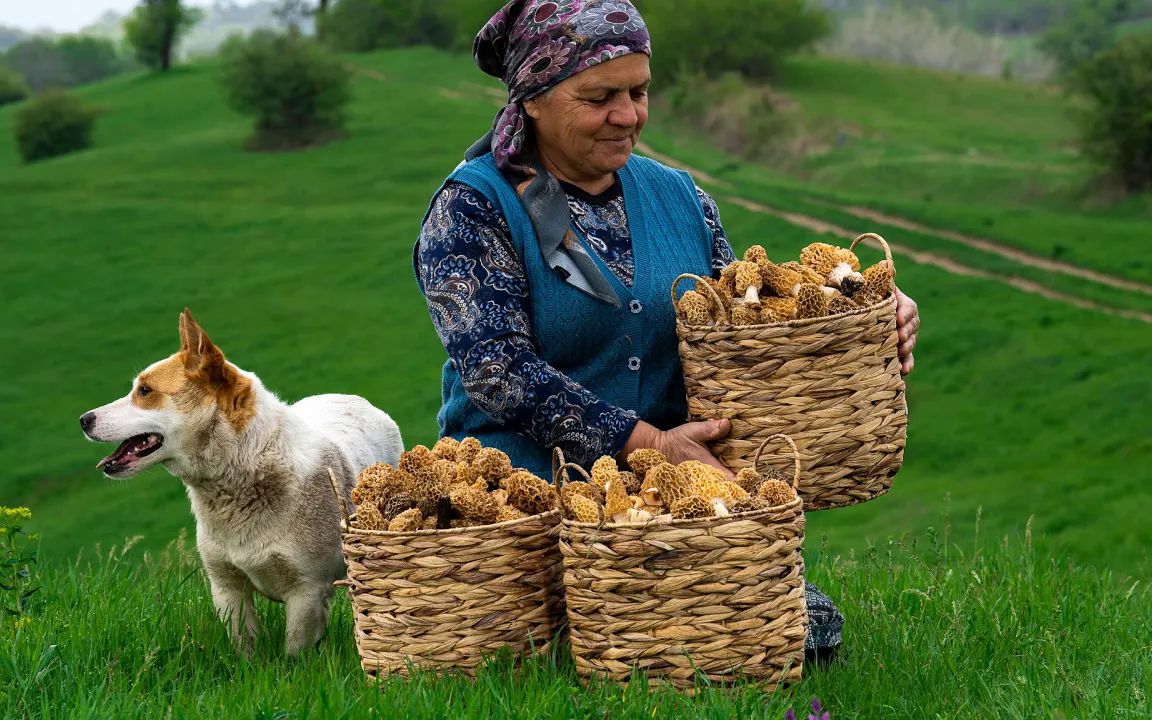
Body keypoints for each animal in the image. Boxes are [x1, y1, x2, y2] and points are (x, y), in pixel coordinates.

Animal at [76, 306, 400, 654]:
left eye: (145, 391)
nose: (83, 420)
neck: (245, 468)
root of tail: (357, 400)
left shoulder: (306, 592)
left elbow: (294, 654)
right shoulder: (226, 586)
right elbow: (245, 649)